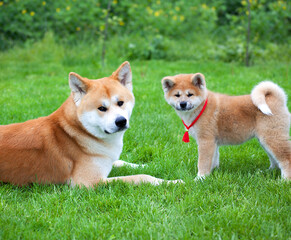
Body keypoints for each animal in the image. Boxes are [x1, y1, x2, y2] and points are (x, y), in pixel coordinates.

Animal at [0, 61, 182, 187]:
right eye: (101, 108)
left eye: (121, 103)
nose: (121, 121)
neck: (75, 133)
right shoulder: (88, 182)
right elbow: (140, 177)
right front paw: (171, 182)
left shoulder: (108, 160)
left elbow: (122, 162)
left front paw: (146, 164)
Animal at [162, 73, 291, 180]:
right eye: (177, 95)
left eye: (190, 94)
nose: (183, 104)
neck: (201, 107)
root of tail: (277, 98)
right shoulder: (212, 142)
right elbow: (213, 159)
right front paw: (212, 173)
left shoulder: (205, 140)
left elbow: (203, 162)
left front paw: (200, 178)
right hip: (265, 139)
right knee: (274, 160)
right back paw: (267, 172)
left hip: (272, 137)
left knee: (285, 158)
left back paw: (284, 181)